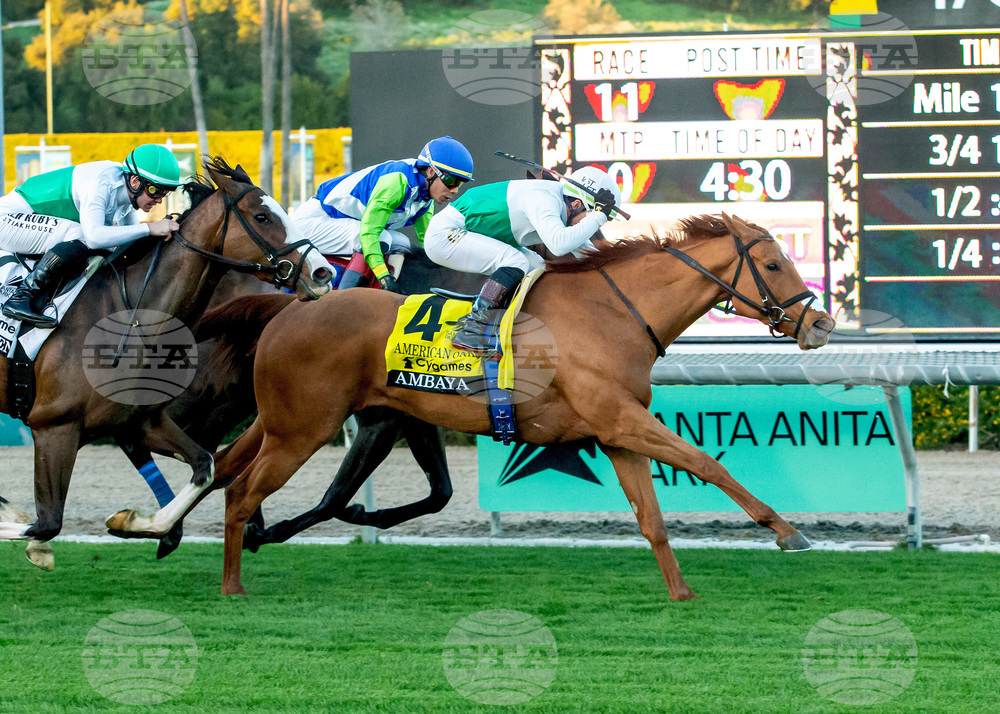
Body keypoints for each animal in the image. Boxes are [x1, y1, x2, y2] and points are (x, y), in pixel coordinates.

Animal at [0, 157, 332, 553]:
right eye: (262, 216)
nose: (323, 273)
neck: (129, 316)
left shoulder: (140, 421)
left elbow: (206, 467)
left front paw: (134, 523)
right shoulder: (53, 428)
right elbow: (45, 524)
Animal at [108, 213, 836, 599]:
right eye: (774, 265)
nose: (821, 324)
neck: (613, 312)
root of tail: (294, 305)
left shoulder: (615, 431)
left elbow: (653, 519)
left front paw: (681, 592)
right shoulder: (622, 419)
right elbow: (707, 464)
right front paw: (787, 531)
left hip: (282, 419)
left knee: (225, 465)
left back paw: (151, 526)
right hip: (304, 429)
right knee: (240, 490)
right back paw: (231, 580)